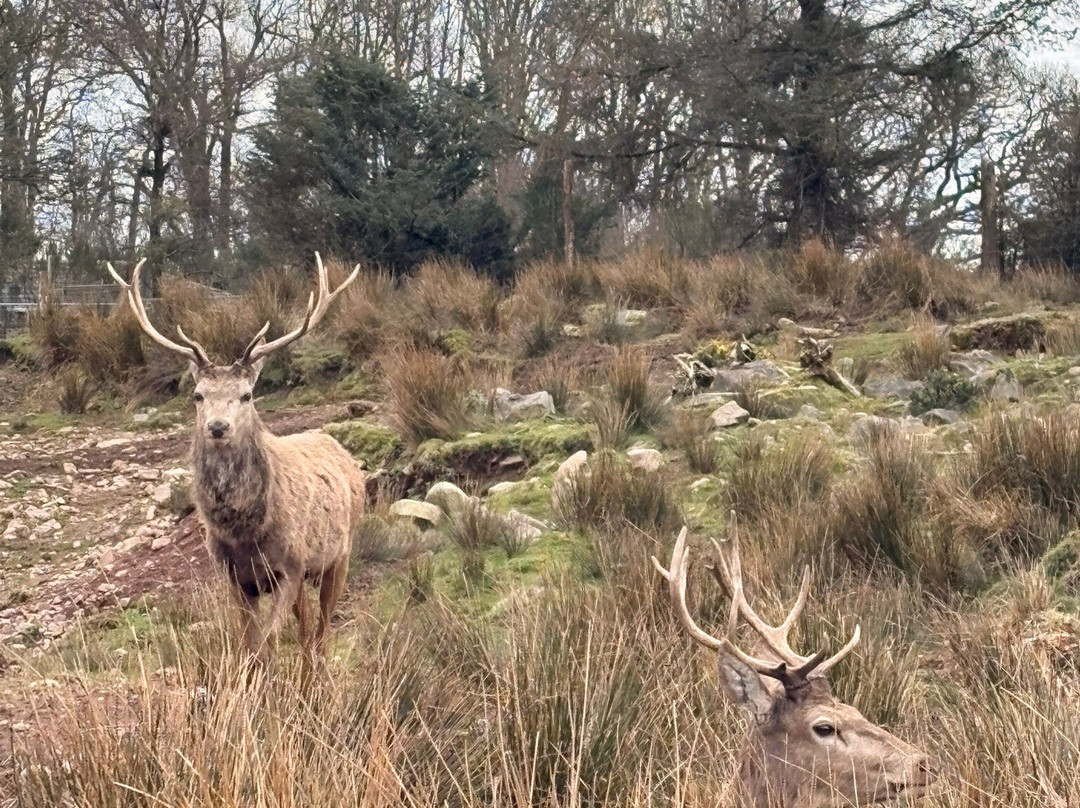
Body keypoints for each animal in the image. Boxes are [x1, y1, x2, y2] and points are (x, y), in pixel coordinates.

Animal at [107, 255, 366, 661]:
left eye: (246, 394)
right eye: (198, 394)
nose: (217, 426)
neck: (245, 534)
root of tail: (341, 450)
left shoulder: (290, 566)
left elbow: (268, 643)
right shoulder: (235, 577)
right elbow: (250, 644)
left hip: (340, 554)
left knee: (322, 633)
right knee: (307, 630)